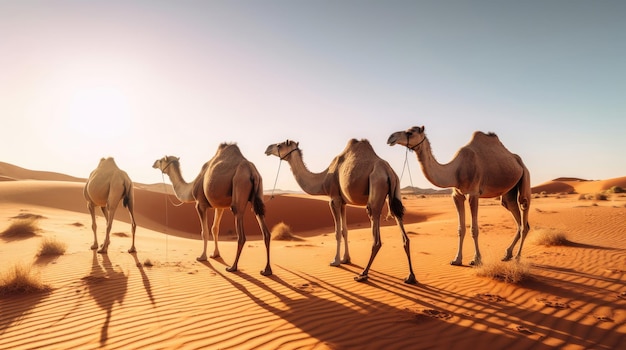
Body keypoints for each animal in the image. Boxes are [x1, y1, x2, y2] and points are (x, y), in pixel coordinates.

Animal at [152, 143, 272, 276]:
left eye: (161, 160)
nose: (154, 163)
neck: (191, 187)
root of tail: (252, 172)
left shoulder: (200, 204)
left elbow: (204, 232)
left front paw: (202, 257)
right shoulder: (219, 207)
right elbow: (215, 229)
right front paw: (215, 254)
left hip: (239, 186)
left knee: (241, 234)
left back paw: (232, 267)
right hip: (258, 195)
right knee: (265, 231)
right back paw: (266, 270)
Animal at [264, 138, 414, 284]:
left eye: (279, 145)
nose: (267, 149)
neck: (323, 178)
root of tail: (389, 172)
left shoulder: (334, 199)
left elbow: (337, 232)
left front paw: (335, 261)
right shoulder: (343, 202)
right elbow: (345, 231)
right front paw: (346, 259)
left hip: (376, 188)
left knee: (376, 237)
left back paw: (363, 274)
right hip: (394, 194)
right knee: (403, 230)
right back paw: (410, 276)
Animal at [388, 126, 528, 266]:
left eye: (410, 132)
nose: (391, 138)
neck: (455, 171)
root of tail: (519, 161)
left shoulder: (473, 194)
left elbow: (474, 229)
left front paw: (476, 259)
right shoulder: (457, 195)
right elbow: (461, 229)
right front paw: (457, 259)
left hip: (525, 175)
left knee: (524, 214)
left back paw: (517, 257)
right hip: (509, 192)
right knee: (514, 213)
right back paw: (507, 254)